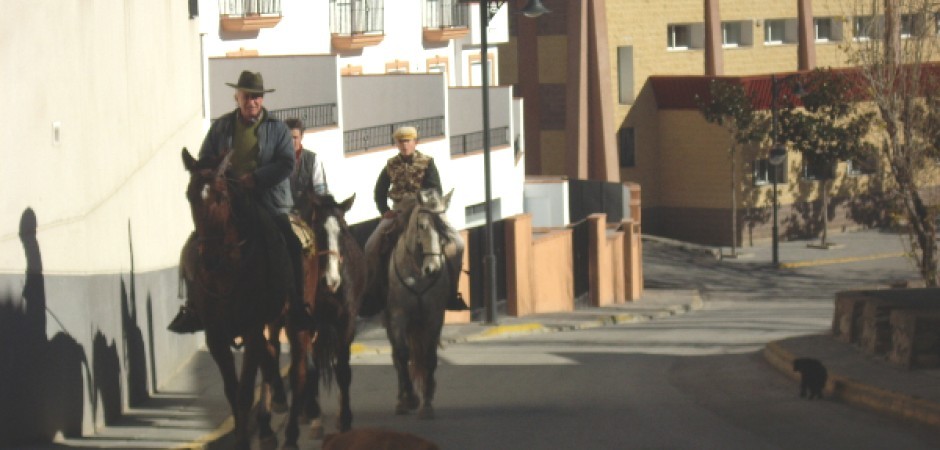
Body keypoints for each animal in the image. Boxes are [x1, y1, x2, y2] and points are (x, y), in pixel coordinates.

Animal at [180, 149, 288, 450]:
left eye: (221, 197)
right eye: (189, 195)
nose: (209, 259)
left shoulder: (252, 328)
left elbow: (245, 391)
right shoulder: (215, 336)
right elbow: (231, 391)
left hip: (275, 317)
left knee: (273, 349)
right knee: (269, 355)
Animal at [384, 187, 460, 418]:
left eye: (444, 227)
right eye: (422, 226)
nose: (433, 269)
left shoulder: (434, 317)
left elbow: (429, 356)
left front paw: (426, 403)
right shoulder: (398, 316)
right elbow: (402, 354)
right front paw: (409, 399)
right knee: (397, 356)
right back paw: (402, 398)